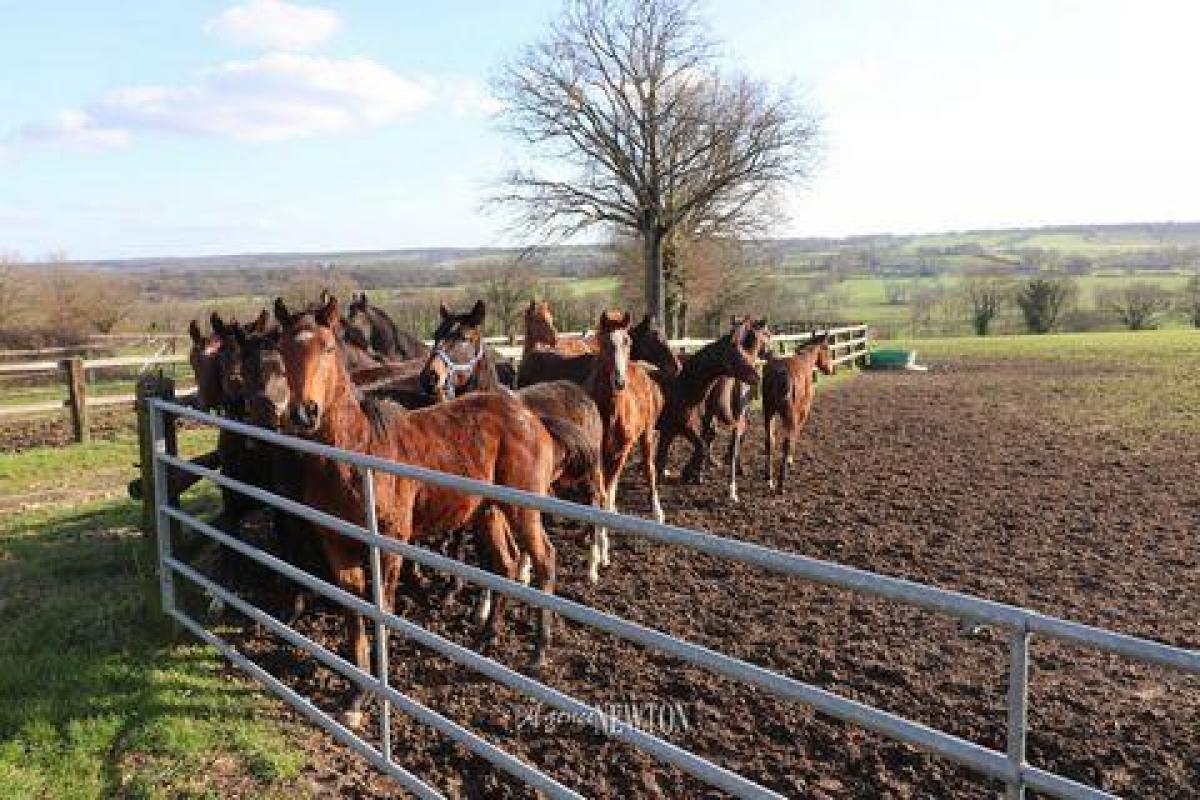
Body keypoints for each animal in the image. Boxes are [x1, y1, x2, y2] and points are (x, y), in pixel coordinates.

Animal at [274, 296, 588, 724]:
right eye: (283, 351)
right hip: (488, 513)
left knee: (544, 560)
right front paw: (356, 695)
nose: (304, 412)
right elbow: (354, 612)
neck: (358, 451)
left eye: (327, 347)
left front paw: (377, 689)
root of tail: (530, 416)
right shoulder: (336, 543)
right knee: (506, 564)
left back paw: (538, 655)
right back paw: (485, 639)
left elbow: (382, 605)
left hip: (522, 508)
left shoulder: (389, 540)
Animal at [588, 309, 672, 578]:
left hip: (644, 438)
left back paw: (657, 512)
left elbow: (605, 499)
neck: (609, 412)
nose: (620, 382)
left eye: (628, 342)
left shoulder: (621, 451)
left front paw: (600, 556)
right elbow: (600, 498)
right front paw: (596, 559)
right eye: (604, 343)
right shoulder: (596, 457)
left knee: (649, 470)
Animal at [763, 335, 840, 491]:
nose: (831, 369)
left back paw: (769, 479)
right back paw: (781, 483)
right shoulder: (802, 412)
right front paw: (790, 460)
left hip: (768, 412)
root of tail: (780, 373)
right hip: (789, 415)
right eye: (827, 348)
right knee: (785, 443)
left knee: (769, 441)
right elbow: (795, 433)